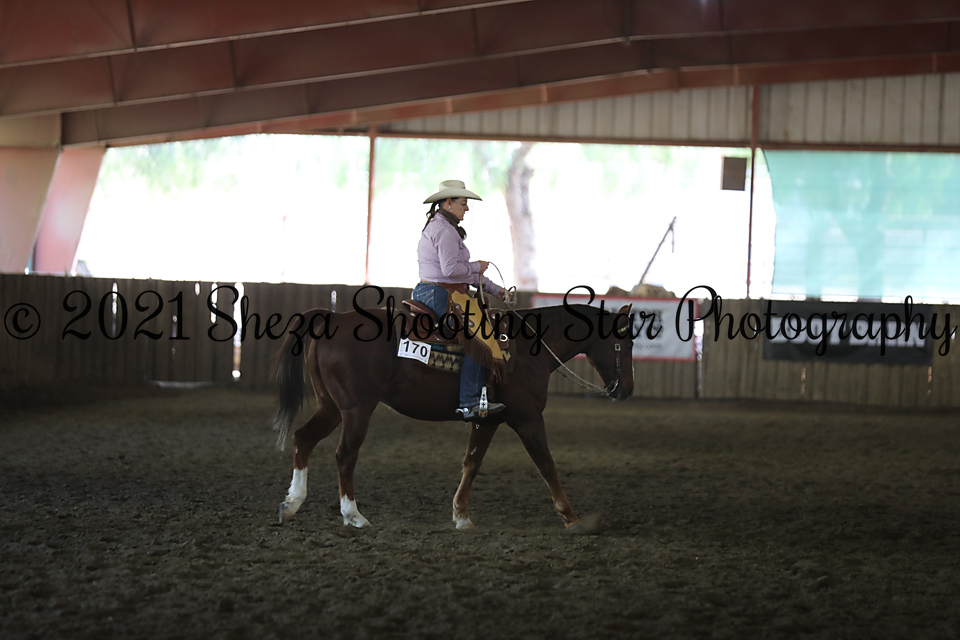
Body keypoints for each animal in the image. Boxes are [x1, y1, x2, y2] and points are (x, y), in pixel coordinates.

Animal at [270, 298, 635, 531]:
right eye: (626, 343)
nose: (627, 391)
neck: (528, 350)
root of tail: (333, 318)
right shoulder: (528, 418)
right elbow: (547, 465)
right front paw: (572, 518)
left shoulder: (488, 419)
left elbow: (471, 464)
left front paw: (461, 516)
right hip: (356, 410)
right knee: (344, 455)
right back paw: (354, 515)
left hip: (331, 407)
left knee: (303, 439)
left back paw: (291, 504)